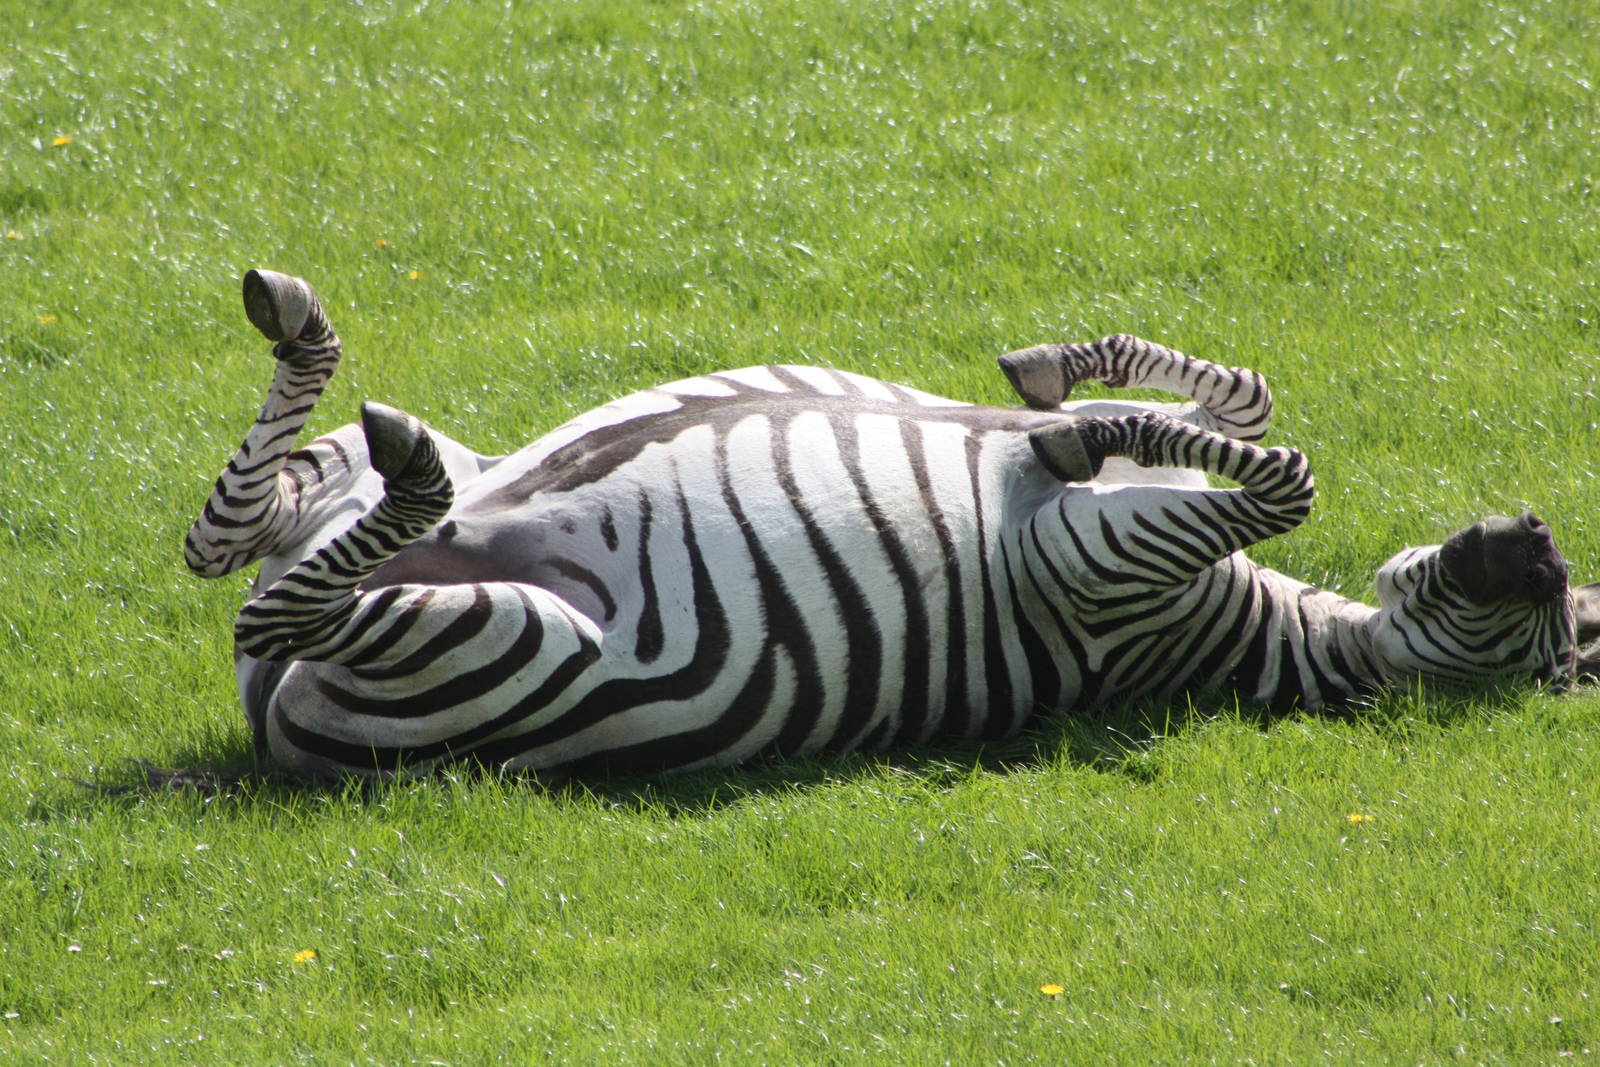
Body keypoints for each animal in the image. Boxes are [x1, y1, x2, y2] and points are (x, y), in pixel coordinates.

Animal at [184, 270, 1598, 780]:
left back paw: (397, 449)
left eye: (1556, 649)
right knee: (234, 534)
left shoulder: (1100, 570)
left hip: (495, 637)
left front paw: (1067, 424)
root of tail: (273, 733)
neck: (1252, 626)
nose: (1533, 539)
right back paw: (306, 334)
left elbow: (1290, 468)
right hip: (388, 519)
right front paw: (1061, 381)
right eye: (1573, 612)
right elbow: (1253, 402)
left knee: (267, 583)